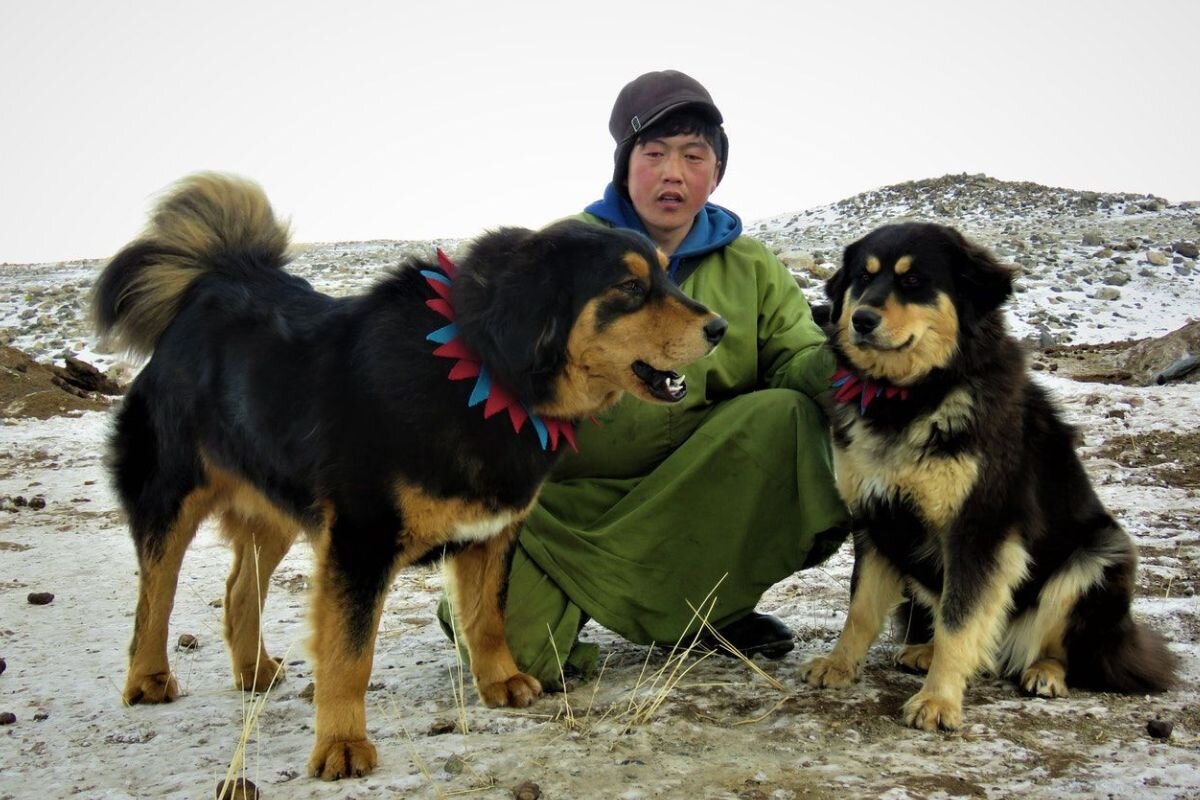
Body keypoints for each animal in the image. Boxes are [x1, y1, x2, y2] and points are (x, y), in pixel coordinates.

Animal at [801, 220, 1176, 734]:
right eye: (864, 277)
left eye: (913, 280)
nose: (859, 319)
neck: (912, 397)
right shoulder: (877, 520)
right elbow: (860, 609)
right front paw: (840, 665)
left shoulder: (978, 530)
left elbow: (960, 620)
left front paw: (938, 700)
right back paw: (925, 651)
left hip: (1097, 556)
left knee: (1059, 646)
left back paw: (1043, 672)